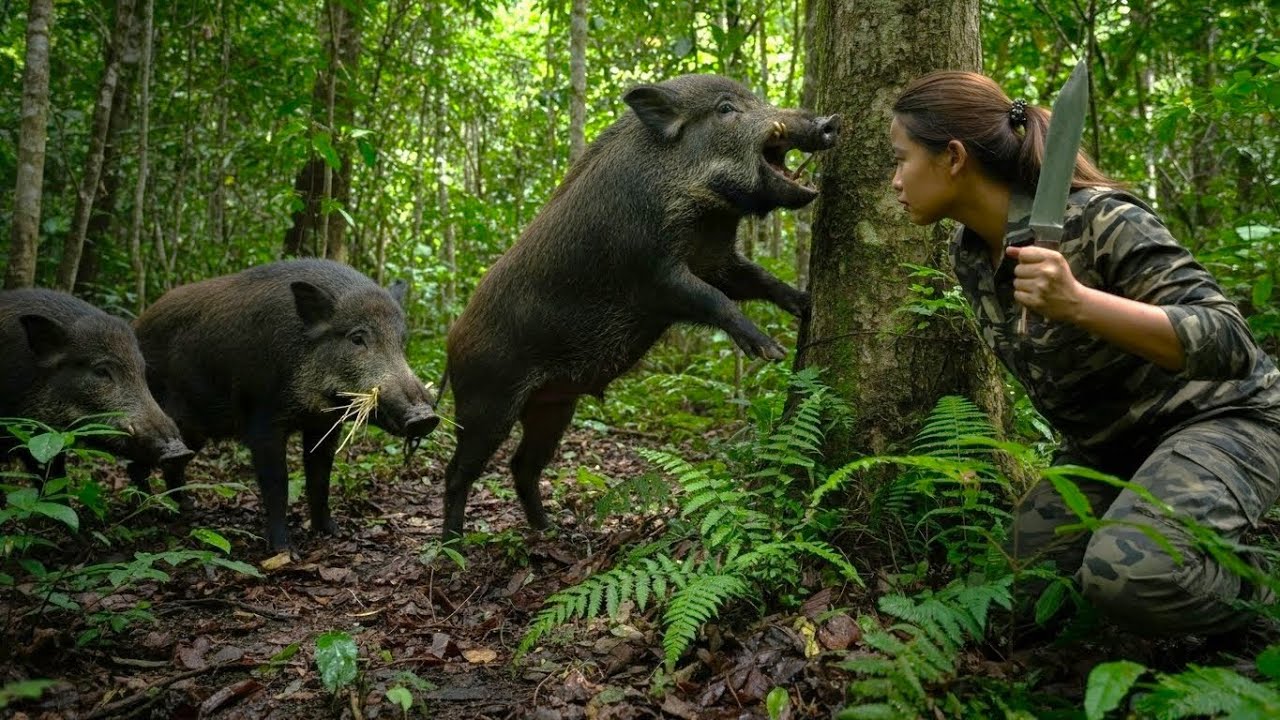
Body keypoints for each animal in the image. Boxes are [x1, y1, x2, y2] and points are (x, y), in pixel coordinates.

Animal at [129, 259, 439, 550]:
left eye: (401, 342)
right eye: (357, 338)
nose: (425, 416)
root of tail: (137, 324)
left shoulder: (325, 426)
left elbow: (320, 477)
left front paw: (332, 532)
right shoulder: (262, 421)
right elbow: (277, 483)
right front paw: (285, 551)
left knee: (171, 465)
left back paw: (184, 508)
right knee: (140, 463)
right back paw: (147, 512)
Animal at [439, 74, 840, 538]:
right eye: (725, 108)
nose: (830, 121)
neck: (705, 213)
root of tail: (450, 344)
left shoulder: (718, 261)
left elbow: (758, 280)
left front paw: (806, 304)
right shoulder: (655, 274)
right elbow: (714, 300)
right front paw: (771, 351)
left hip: (552, 405)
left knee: (523, 465)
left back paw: (553, 531)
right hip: (486, 403)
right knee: (458, 471)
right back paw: (454, 545)